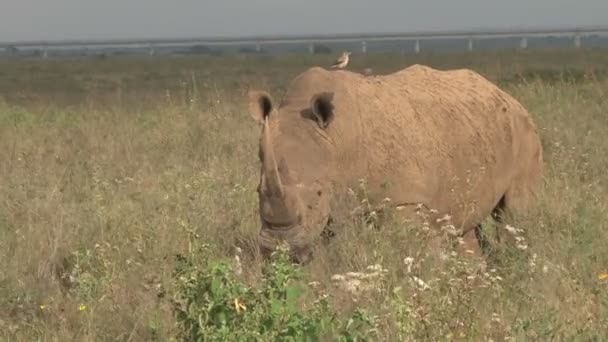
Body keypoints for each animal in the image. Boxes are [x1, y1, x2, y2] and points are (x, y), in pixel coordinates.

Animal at [247, 64, 548, 262]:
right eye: (258, 191)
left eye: (318, 195)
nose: (279, 251)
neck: (334, 141)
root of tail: (503, 93)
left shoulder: (406, 200)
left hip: (523, 129)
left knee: (515, 212)